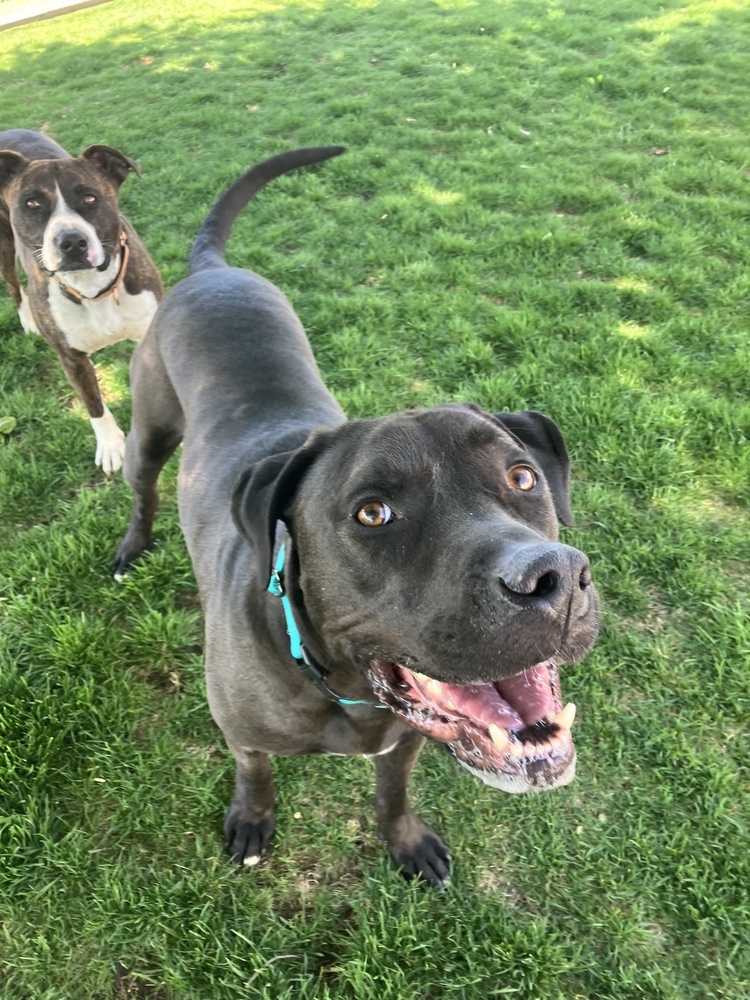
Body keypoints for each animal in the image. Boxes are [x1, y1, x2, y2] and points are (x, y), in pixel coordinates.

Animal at [114, 146, 604, 884]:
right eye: (373, 513)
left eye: (523, 477)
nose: (555, 578)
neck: (341, 683)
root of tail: (211, 271)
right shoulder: (239, 731)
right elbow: (254, 773)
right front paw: (252, 820)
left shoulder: (405, 741)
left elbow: (392, 791)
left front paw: (405, 842)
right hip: (148, 431)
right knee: (142, 487)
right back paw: (130, 547)